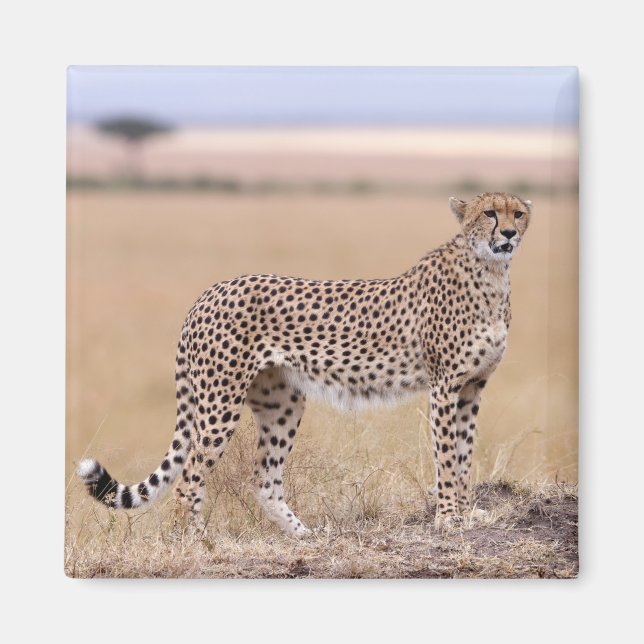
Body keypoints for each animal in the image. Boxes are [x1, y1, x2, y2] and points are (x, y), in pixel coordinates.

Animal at [78, 191, 532, 533]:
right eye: (489, 213)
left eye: (519, 213)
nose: (509, 233)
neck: (491, 273)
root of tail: (209, 291)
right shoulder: (444, 387)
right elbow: (447, 456)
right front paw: (449, 518)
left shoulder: (472, 387)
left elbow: (465, 452)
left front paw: (468, 511)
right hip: (220, 402)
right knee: (189, 477)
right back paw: (194, 542)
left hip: (282, 402)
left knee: (263, 478)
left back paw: (303, 535)